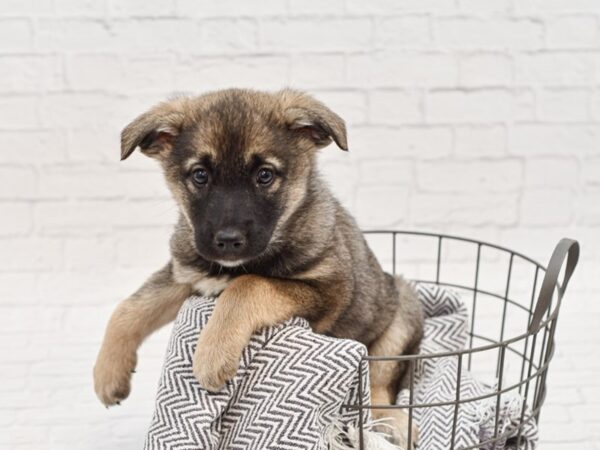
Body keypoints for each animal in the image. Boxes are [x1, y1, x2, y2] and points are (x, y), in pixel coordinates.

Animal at [92, 89, 422, 444]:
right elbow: (128, 309)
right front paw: (108, 373)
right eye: (200, 175)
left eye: (264, 175)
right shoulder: (186, 274)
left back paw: (393, 422)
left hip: (401, 315)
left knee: (379, 383)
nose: (228, 240)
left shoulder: (329, 291)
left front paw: (213, 353)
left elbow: (249, 284)